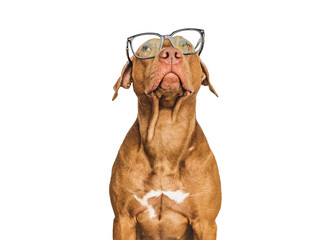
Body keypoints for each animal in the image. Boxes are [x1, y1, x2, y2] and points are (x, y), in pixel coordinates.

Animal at [109, 29, 221, 239]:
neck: (165, 132)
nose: (170, 54)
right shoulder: (123, 219)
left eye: (185, 45)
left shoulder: (205, 223)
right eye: (146, 48)